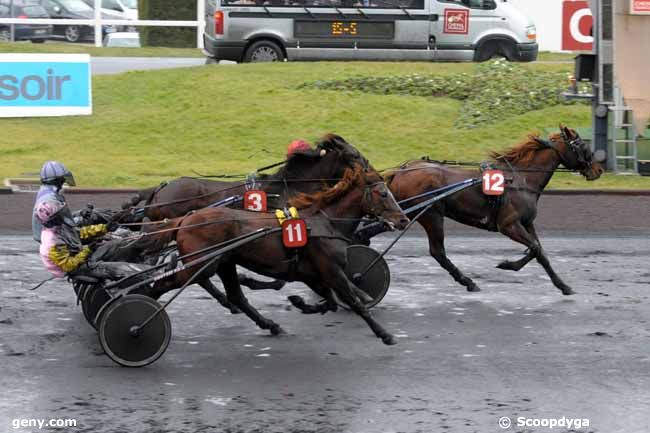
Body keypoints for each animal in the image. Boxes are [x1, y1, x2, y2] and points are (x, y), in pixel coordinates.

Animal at [163, 162, 410, 344]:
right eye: (383, 194)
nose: (403, 219)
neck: (326, 223)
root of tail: (186, 219)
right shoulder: (332, 271)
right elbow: (355, 303)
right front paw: (384, 334)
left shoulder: (312, 273)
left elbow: (330, 302)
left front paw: (300, 302)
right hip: (201, 263)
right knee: (167, 283)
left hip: (224, 262)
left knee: (236, 296)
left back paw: (270, 324)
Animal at [380, 123, 604, 296]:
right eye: (583, 146)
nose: (599, 169)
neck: (521, 179)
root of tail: (399, 171)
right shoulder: (508, 224)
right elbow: (535, 248)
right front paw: (507, 265)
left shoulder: (526, 223)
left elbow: (539, 251)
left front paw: (563, 286)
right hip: (431, 215)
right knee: (438, 252)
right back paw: (468, 281)